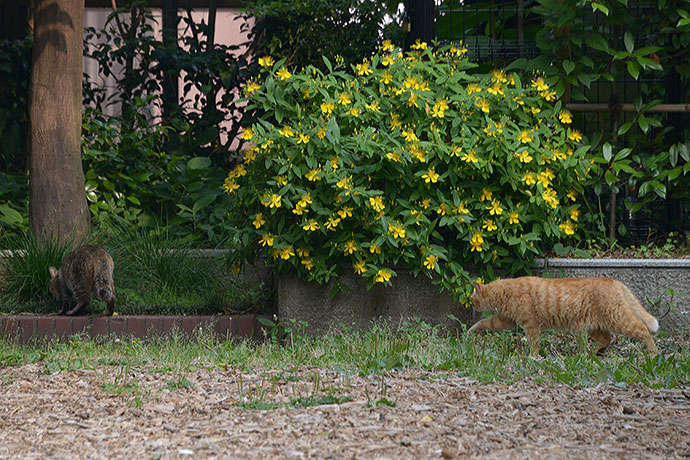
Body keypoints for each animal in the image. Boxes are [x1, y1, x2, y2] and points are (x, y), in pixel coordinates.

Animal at [468, 276, 656, 356]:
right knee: (607, 338)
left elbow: (533, 343)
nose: (470, 305)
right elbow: (485, 322)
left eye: (471, 298)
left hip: (619, 320)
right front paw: (470, 331)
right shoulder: (506, 321)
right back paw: (591, 353)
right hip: (593, 327)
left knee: (643, 330)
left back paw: (653, 353)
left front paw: (533, 357)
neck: (505, 291)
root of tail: (616, 282)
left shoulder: (531, 324)